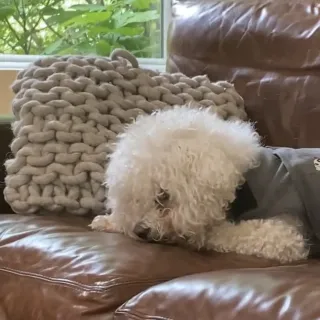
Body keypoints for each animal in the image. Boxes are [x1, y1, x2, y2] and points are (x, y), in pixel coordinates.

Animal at [89, 105, 320, 262]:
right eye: (134, 198)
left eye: (163, 195)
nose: (139, 232)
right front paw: (110, 221)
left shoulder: (285, 234)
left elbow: (216, 233)